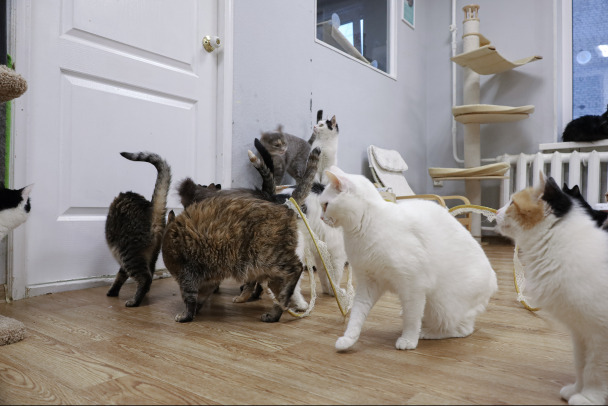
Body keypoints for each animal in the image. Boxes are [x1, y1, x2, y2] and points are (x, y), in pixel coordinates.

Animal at [105, 151, 172, 307]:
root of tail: (151, 209)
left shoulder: (121, 256)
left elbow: (120, 275)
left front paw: (112, 291)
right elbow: (121, 275)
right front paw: (113, 291)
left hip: (129, 252)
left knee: (145, 277)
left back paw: (134, 301)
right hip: (152, 254)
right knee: (150, 275)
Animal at [162, 147, 320, 323]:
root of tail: (285, 207)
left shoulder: (187, 273)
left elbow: (189, 297)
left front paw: (186, 315)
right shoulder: (207, 278)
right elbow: (201, 296)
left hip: (266, 258)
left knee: (296, 269)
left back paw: (276, 310)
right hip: (267, 268)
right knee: (284, 285)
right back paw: (283, 308)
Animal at [319, 166, 497, 351]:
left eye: (325, 205)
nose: (321, 217)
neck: (364, 226)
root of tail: (493, 280)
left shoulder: (413, 285)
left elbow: (411, 319)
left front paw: (409, 339)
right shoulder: (368, 283)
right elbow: (357, 315)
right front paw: (348, 339)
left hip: (443, 305)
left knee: (461, 329)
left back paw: (427, 333)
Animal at [495, 173, 608, 405]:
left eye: (511, 202)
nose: (496, 212)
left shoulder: (600, 335)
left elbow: (595, 370)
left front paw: (589, 397)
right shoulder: (580, 332)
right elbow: (581, 364)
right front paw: (576, 389)